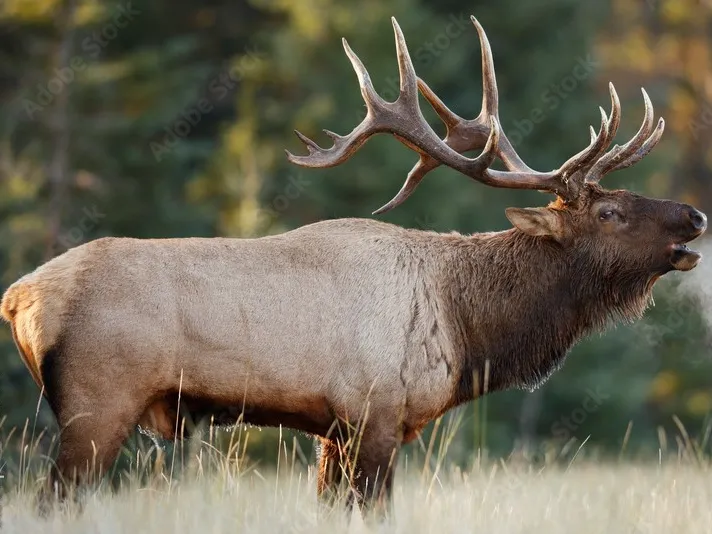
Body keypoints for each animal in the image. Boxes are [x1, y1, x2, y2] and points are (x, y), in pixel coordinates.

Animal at [0, 15, 707, 517]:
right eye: (610, 211)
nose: (695, 216)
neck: (466, 327)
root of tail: (18, 297)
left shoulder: (333, 430)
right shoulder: (375, 413)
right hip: (98, 405)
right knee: (52, 501)